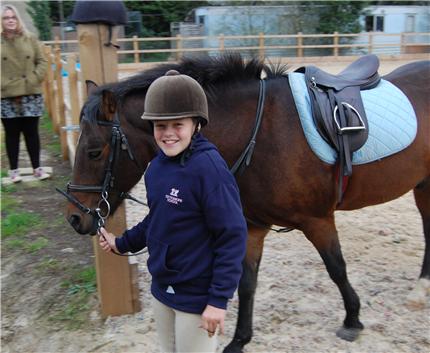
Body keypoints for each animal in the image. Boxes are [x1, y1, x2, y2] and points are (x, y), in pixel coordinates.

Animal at [61, 54, 430, 352]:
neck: (261, 134)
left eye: (94, 151)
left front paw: (352, 319)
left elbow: (336, 268)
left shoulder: (318, 220)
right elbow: (246, 283)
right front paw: (239, 339)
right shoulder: (251, 227)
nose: (75, 218)